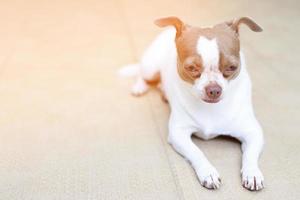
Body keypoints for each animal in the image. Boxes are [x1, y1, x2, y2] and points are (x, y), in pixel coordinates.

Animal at [119, 16, 264, 191]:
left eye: (232, 67)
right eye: (191, 68)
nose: (214, 89)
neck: (211, 108)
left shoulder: (253, 133)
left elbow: (250, 155)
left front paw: (253, 173)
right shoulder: (178, 134)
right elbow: (197, 152)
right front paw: (208, 172)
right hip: (150, 67)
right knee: (142, 74)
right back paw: (139, 87)